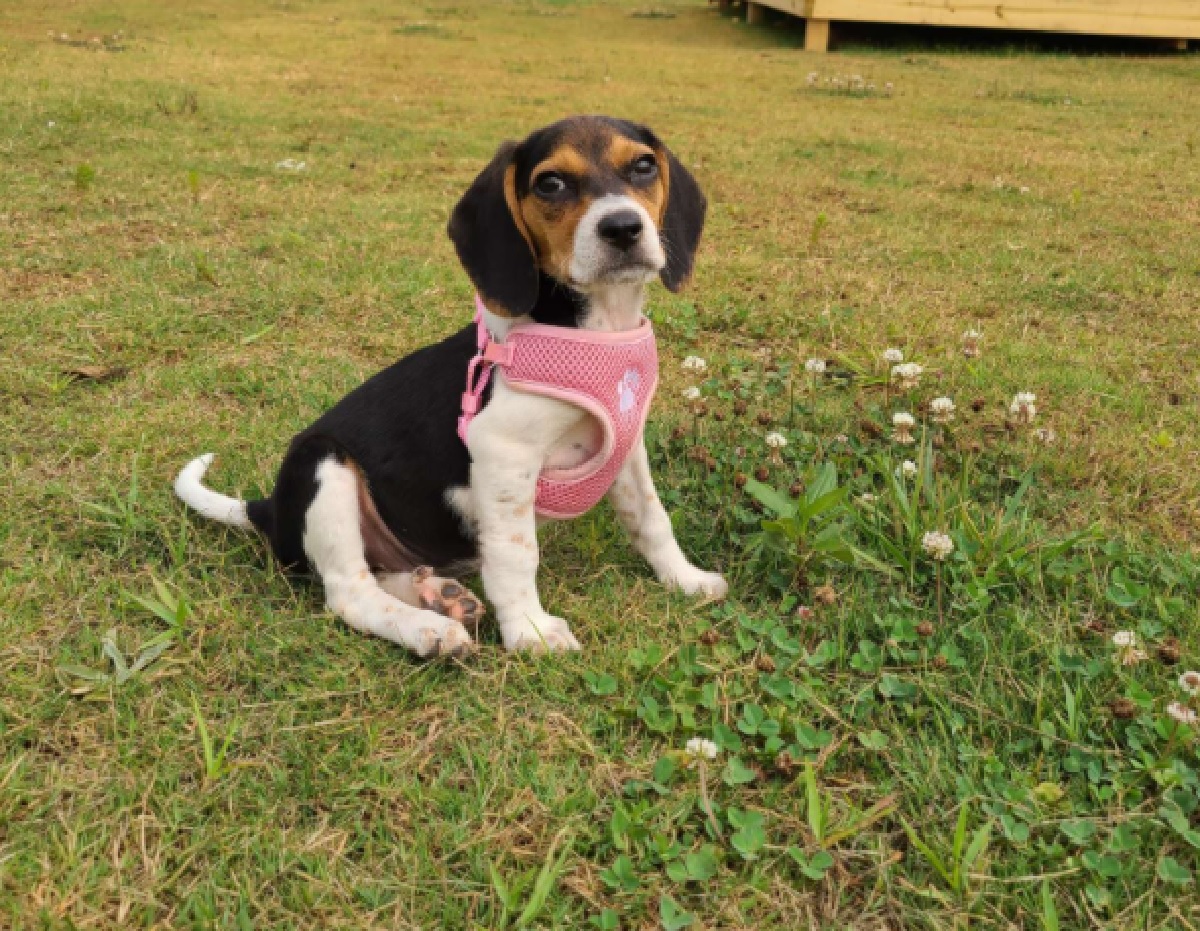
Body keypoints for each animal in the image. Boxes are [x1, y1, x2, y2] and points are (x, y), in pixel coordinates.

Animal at [174, 116, 724, 652]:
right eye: (550, 183)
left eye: (644, 166)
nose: (623, 227)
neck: (599, 325)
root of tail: (270, 511)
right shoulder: (502, 451)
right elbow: (515, 556)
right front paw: (530, 631)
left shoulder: (627, 448)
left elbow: (652, 520)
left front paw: (685, 579)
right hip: (322, 465)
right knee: (349, 590)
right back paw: (428, 629)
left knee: (379, 573)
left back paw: (438, 596)